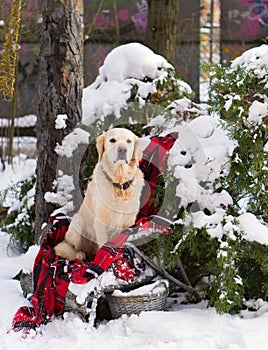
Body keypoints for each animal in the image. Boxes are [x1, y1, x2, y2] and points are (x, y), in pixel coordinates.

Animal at [54, 128, 144, 260]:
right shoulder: (101, 222)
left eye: (129, 141)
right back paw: (80, 255)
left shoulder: (128, 223)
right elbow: (103, 245)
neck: (119, 184)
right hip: (77, 222)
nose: (122, 149)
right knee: (75, 248)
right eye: (112, 140)